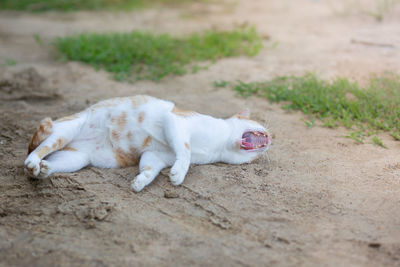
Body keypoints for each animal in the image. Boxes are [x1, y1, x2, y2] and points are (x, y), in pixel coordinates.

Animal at [24, 95, 272, 192]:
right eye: (261, 124)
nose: (273, 137)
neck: (218, 147)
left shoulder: (155, 155)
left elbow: (150, 169)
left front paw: (141, 181)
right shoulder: (176, 122)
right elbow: (185, 150)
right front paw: (179, 174)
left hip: (76, 158)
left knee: (53, 162)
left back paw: (44, 169)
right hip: (65, 131)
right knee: (37, 150)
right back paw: (33, 162)